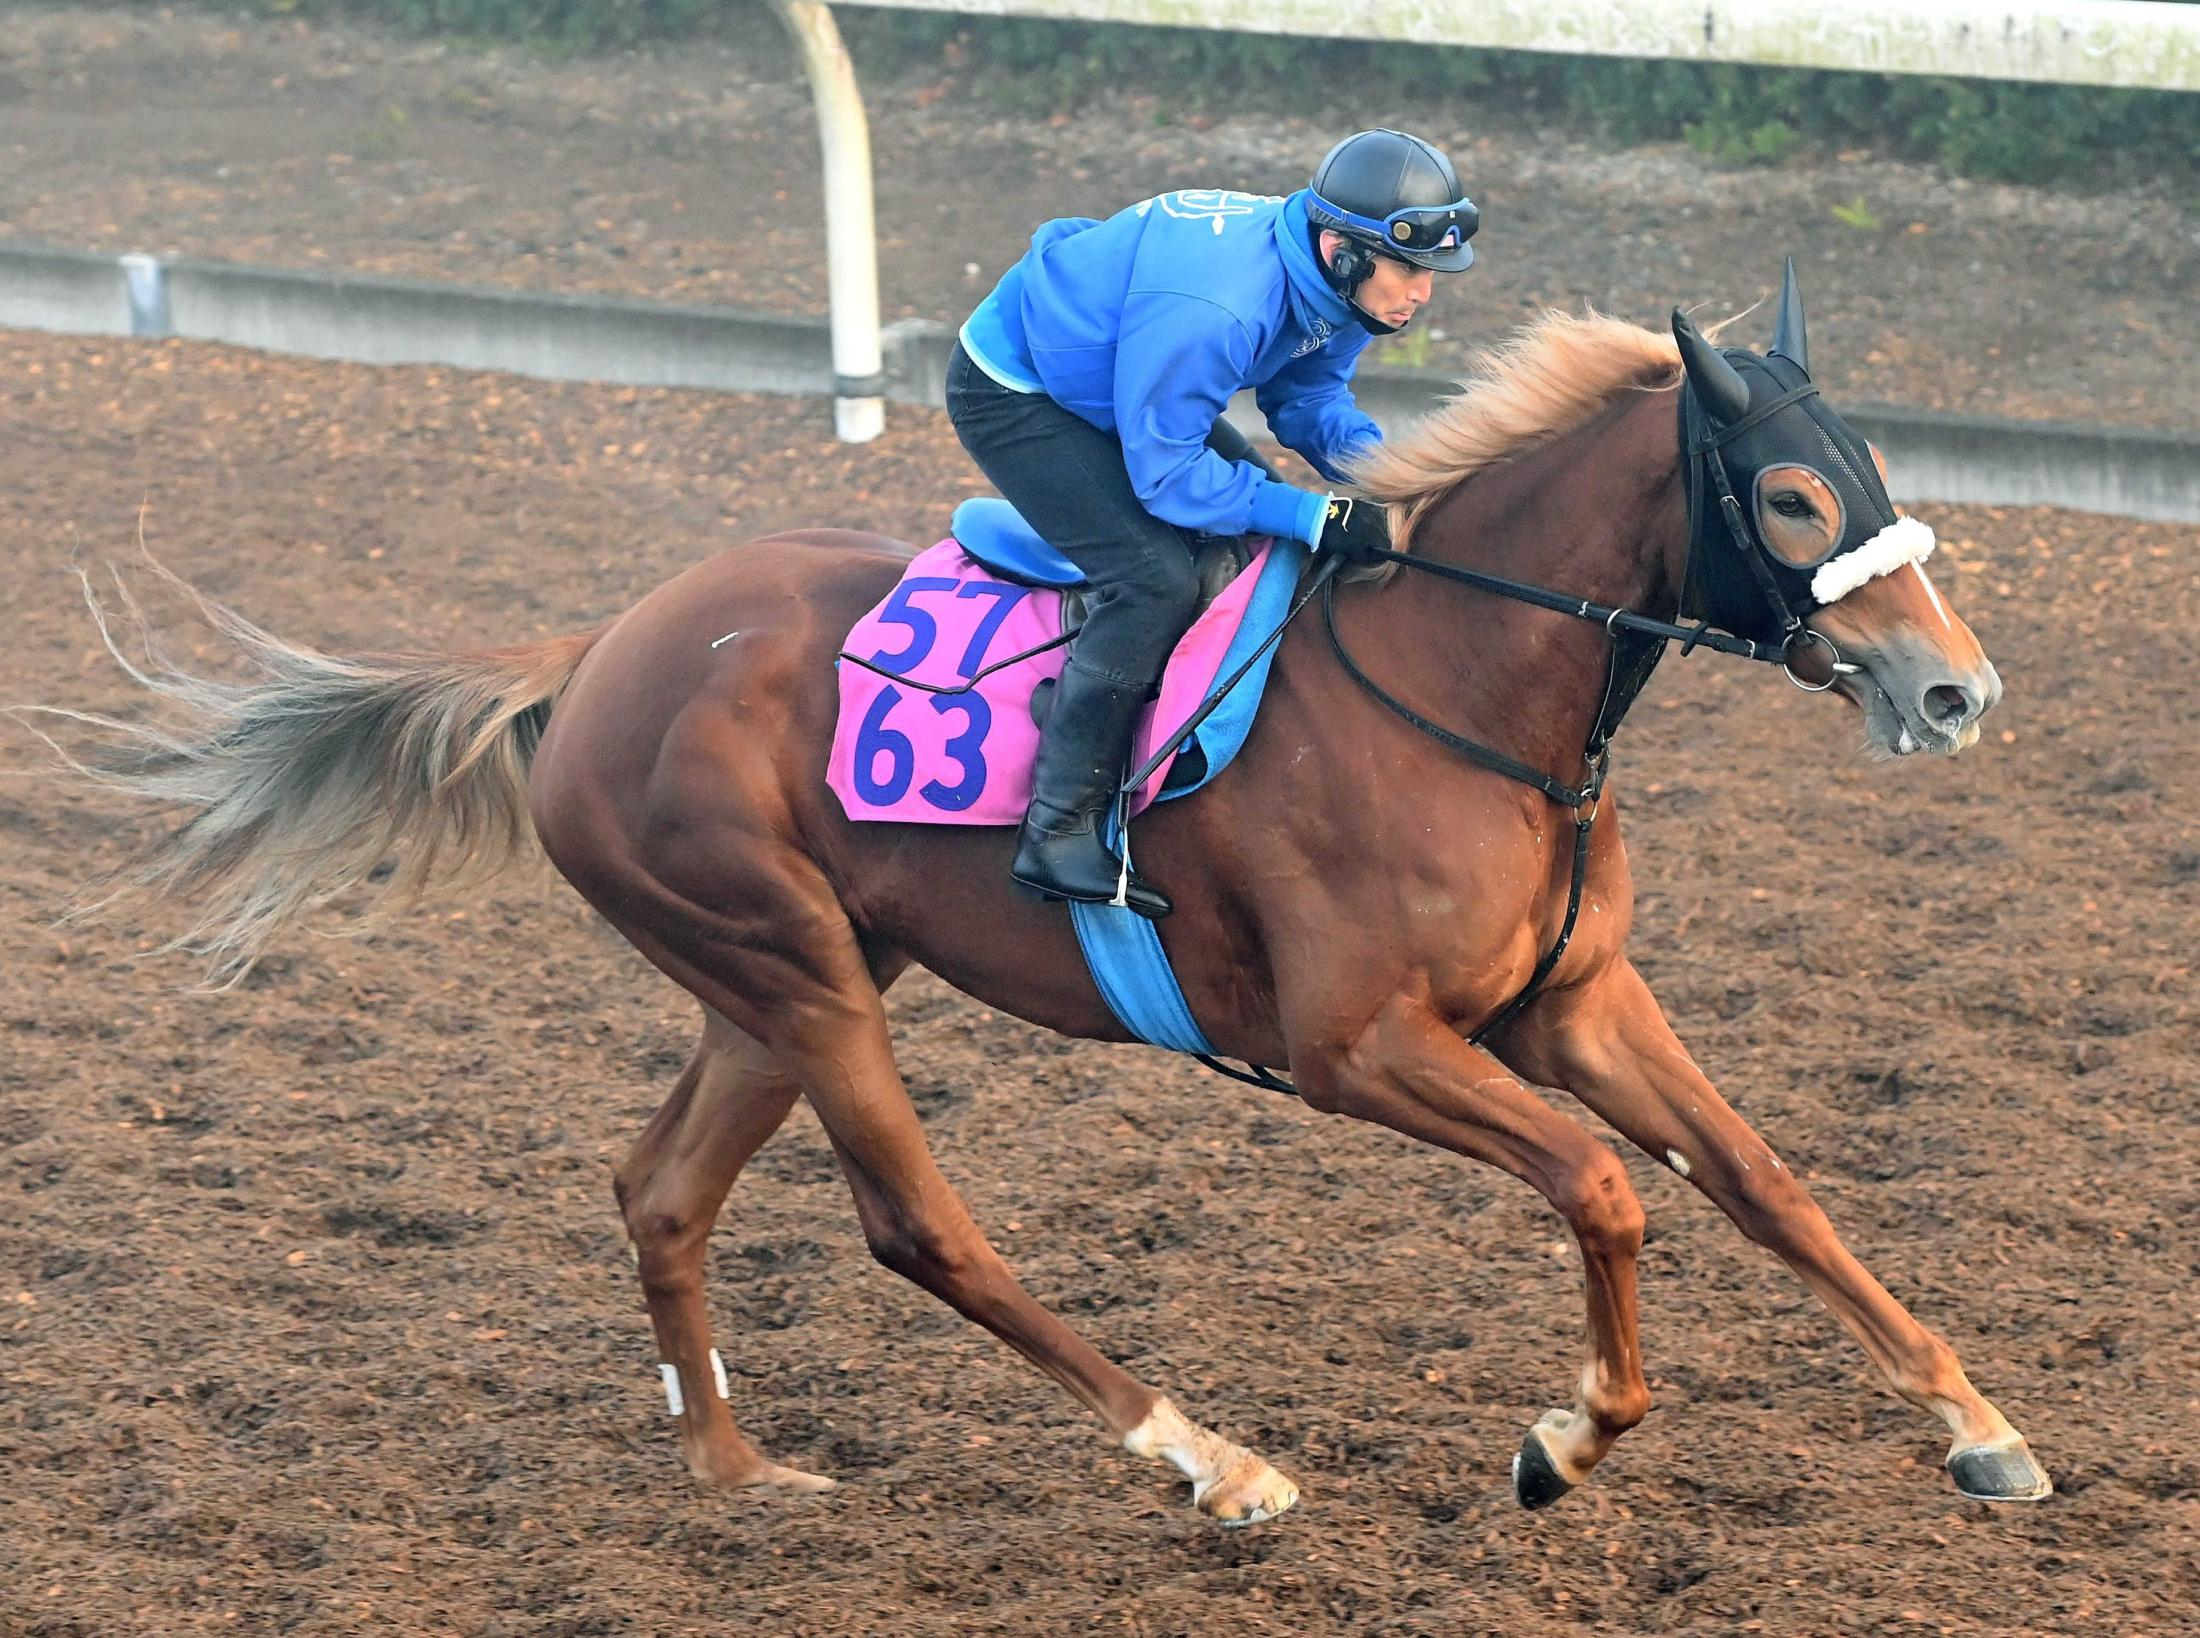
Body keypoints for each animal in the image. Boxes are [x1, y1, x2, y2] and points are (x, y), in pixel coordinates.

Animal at [33, 286, 2052, 1525]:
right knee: (921, 1228)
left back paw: (737, 1471)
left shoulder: (1573, 1000)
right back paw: (1207, 1456)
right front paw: (1564, 1437)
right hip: (800, 971)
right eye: (1788, 498)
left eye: (1875, 475)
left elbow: (1766, 1178)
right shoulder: (1355, 1047)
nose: (1955, 691)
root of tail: (596, 652)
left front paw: (1980, 1424)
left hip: (776, 978)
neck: (1465, 685)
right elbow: (1608, 1187)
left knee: (661, 1187)